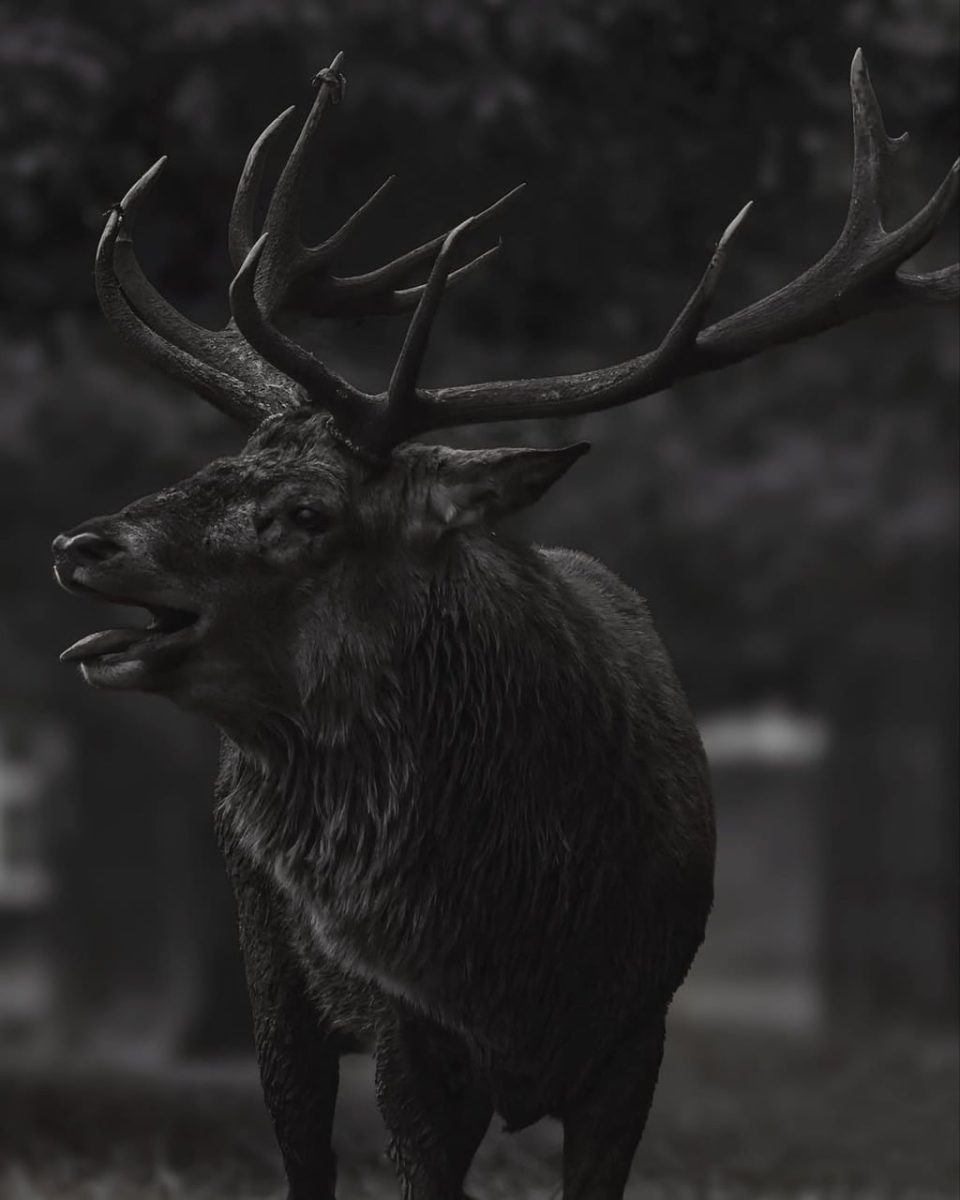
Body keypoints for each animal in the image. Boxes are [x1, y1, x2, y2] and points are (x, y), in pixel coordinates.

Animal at [52, 50, 956, 1200]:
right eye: (215, 464)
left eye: (307, 512)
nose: (82, 543)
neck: (518, 935)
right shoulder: (410, 1034)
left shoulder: (639, 1030)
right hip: (267, 963)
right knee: (300, 1144)